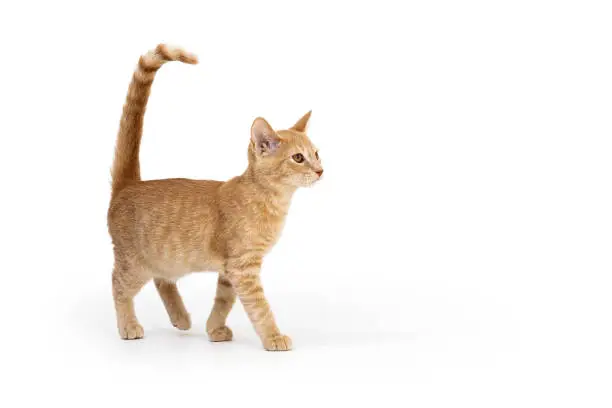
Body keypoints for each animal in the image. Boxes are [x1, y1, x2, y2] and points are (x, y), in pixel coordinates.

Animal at [107, 44, 322, 350]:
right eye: (298, 158)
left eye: (317, 153)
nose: (320, 170)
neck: (268, 199)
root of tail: (129, 184)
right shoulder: (244, 267)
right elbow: (260, 307)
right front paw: (273, 336)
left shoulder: (230, 270)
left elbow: (223, 301)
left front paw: (214, 329)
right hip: (135, 261)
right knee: (119, 284)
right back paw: (128, 324)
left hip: (164, 257)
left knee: (163, 280)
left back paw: (181, 317)